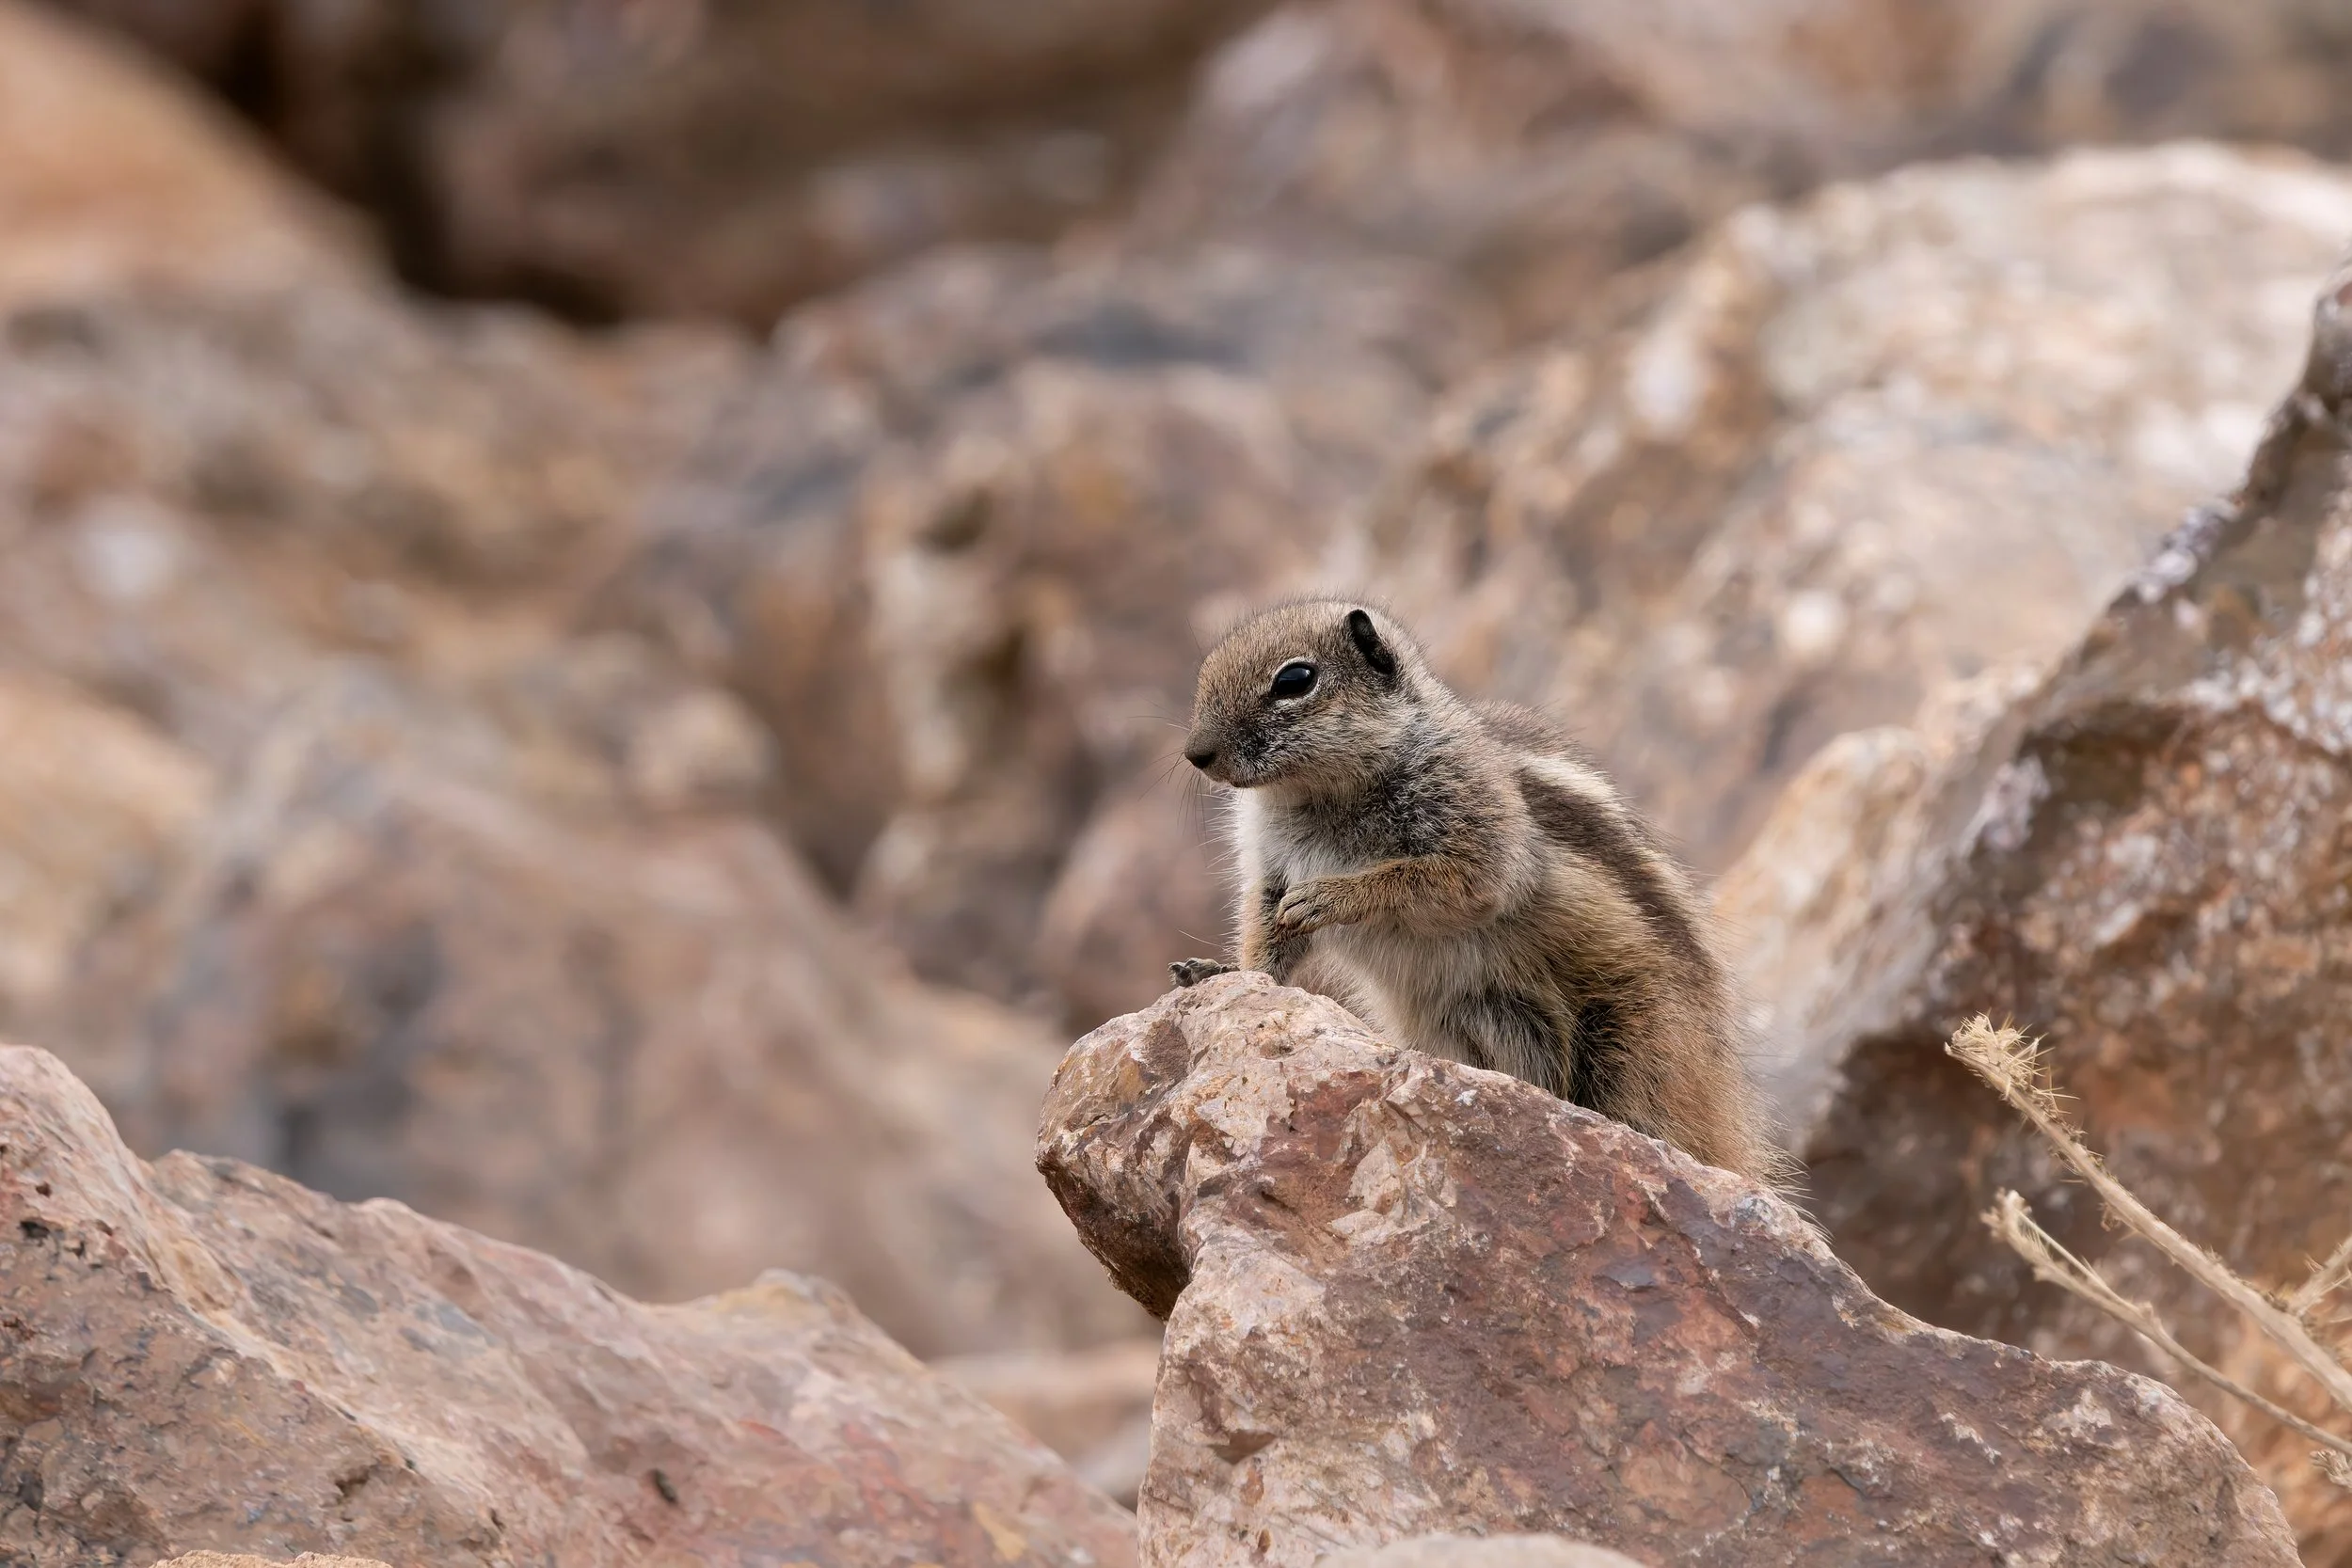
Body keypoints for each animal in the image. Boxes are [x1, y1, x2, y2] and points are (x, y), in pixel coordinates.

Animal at [1168, 599, 1780, 1185]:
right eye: (1204, 673)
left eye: (1295, 679)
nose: (1197, 753)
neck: (1315, 795)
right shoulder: (1269, 871)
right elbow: (1267, 938)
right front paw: (1218, 971)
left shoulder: (1472, 818)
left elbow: (1449, 880)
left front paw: (1330, 896)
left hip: (1634, 1046)